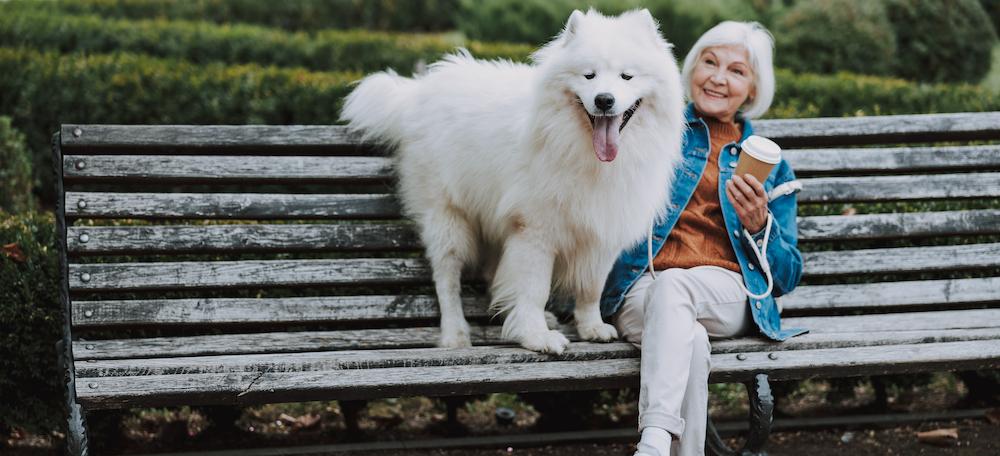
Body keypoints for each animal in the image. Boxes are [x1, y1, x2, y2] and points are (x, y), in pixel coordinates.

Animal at [340, 8, 684, 354]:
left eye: (627, 76)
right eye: (589, 76)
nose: (604, 100)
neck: (583, 152)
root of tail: (419, 91)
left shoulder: (602, 230)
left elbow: (591, 289)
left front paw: (591, 328)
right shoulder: (535, 230)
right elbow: (534, 289)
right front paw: (535, 336)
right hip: (448, 219)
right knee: (446, 280)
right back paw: (456, 335)